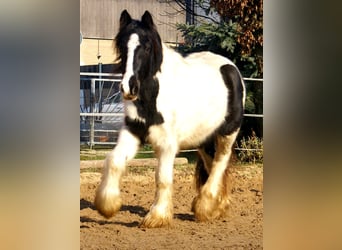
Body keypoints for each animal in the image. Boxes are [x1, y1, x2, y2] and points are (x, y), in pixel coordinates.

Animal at [94, 10, 246, 229]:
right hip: (204, 139)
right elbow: (113, 160)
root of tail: (231, 68)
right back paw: (218, 206)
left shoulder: (167, 144)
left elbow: (162, 177)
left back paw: (204, 206)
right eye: (122, 45)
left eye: (147, 46)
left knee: (220, 162)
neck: (153, 97)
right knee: (212, 165)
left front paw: (157, 216)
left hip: (227, 133)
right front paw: (107, 205)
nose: (128, 88)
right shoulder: (133, 131)